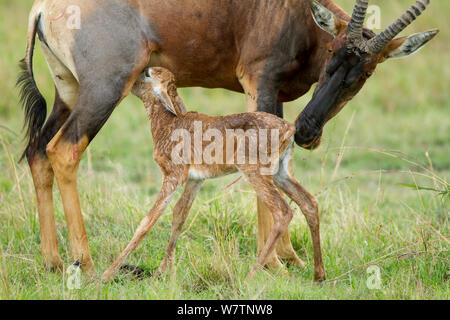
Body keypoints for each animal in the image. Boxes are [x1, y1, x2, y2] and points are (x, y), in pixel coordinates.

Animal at [102, 67, 326, 282]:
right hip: (281, 173)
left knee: (283, 211)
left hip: (255, 173)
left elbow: (148, 221)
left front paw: (107, 274)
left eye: (148, 73)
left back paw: (250, 277)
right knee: (310, 203)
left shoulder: (173, 176)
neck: (169, 122)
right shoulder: (196, 180)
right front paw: (161, 272)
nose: (128, 80)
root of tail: (289, 128)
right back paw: (319, 274)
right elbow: (179, 216)